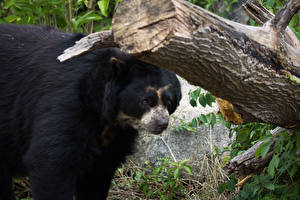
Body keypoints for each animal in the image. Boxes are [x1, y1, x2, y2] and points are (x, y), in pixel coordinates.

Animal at [0, 24, 182, 200]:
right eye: (145, 101)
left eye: (169, 101)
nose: (162, 123)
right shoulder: (66, 104)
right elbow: (51, 163)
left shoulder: (116, 137)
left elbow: (97, 176)